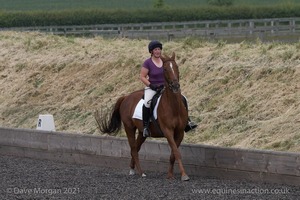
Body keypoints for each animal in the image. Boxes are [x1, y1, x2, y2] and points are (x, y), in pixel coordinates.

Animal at [95, 52, 190, 181]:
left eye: (176, 67)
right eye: (165, 69)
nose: (175, 86)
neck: (173, 107)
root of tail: (126, 97)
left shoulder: (179, 132)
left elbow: (173, 154)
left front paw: (170, 175)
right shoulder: (167, 131)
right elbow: (176, 152)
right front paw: (184, 175)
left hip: (141, 132)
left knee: (136, 147)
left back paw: (132, 169)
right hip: (129, 128)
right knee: (134, 149)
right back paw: (141, 172)